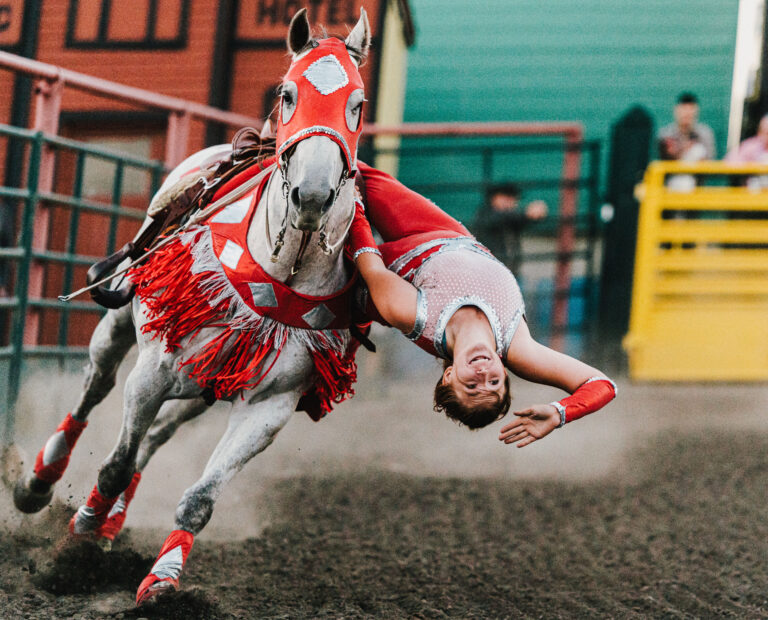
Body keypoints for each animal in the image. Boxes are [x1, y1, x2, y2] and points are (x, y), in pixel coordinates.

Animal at [13, 7, 370, 604]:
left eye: (358, 104)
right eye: (289, 93)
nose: (314, 195)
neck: (281, 268)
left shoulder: (269, 406)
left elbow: (200, 498)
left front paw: (160, 581)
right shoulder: (154, 370)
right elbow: (114, 465)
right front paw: (72, 550)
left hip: (203, 388)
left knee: (156, 437)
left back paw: (112, 526)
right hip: (120, 326)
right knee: (92, 394)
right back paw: (40, 483)